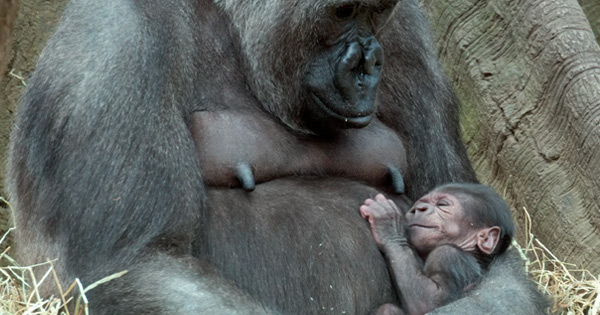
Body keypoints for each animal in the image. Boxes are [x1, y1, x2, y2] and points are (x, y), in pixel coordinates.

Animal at [360, 183, 516, 315]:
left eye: (442, 204)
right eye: (419, 202)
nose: (418, 208)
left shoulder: (447, 255)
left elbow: (429, 301)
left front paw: (387, 225)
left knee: (387, 309)